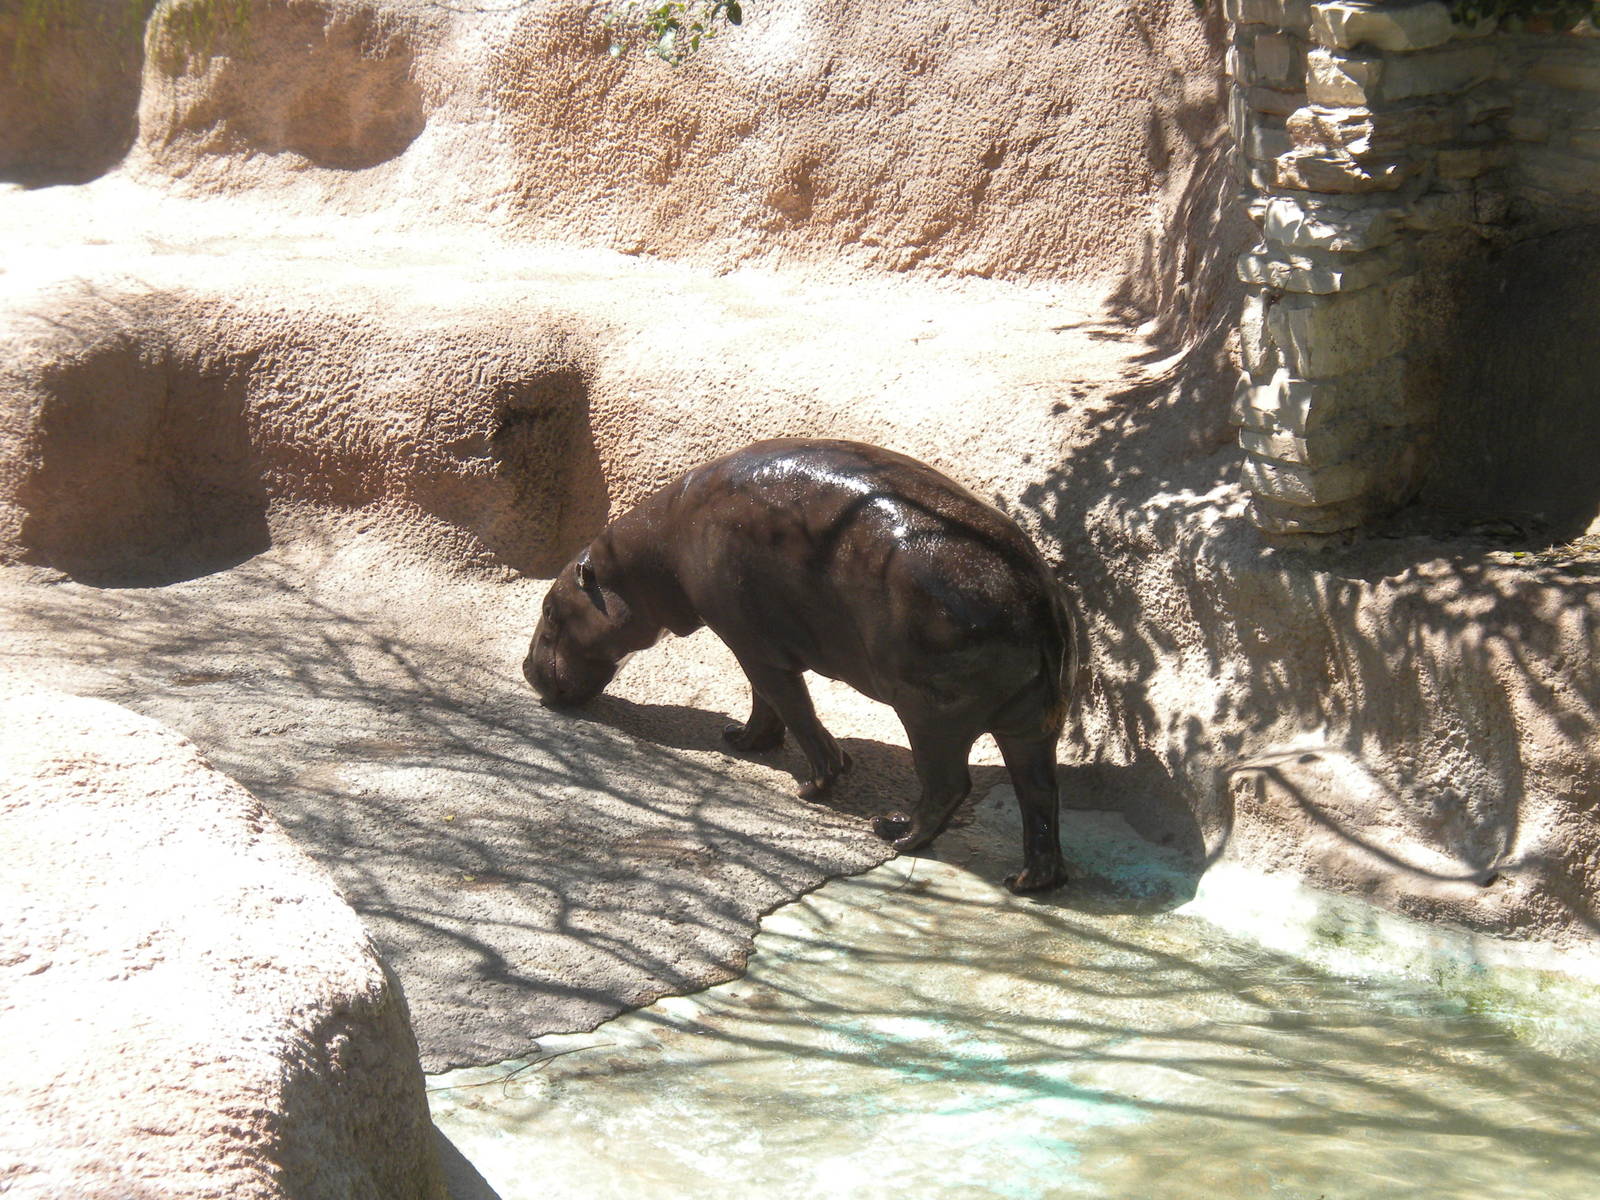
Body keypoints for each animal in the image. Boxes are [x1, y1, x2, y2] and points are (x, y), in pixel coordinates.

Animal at [524, 438, 1075, 893]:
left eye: (549, 610)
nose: (526, 670)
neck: (648, 559)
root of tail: (1039, 603)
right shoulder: (750, 642)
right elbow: (766, 702)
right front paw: (741, 741)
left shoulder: (753, 643)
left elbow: (791, 705)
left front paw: (814, 785)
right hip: (1031, 726)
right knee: (1039, 793)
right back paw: (1026, 881)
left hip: (931, 712)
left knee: (948, 783)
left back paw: (894, 832)